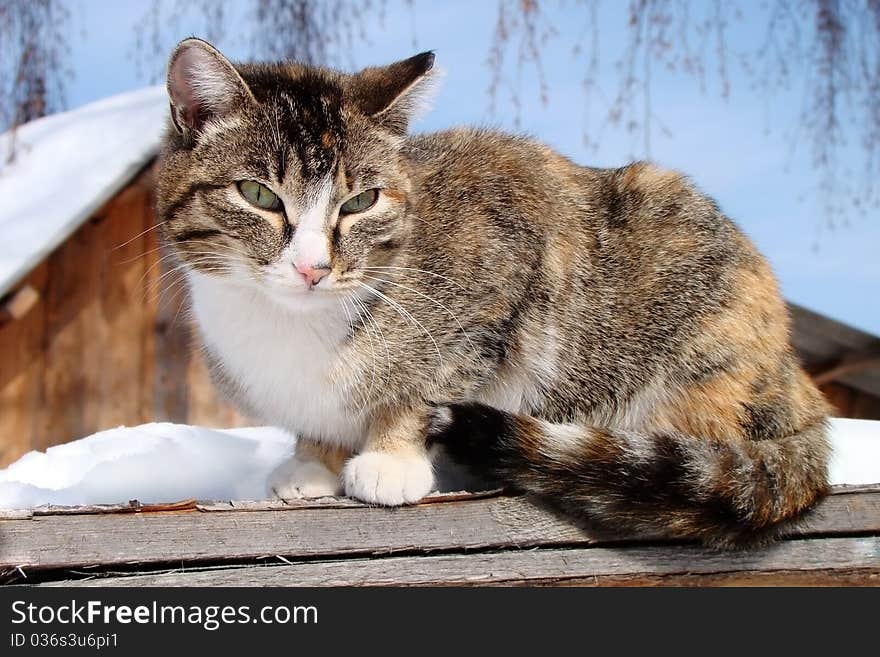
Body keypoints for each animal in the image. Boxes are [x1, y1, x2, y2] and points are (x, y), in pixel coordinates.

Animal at [156, 38, 832, 544]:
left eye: (361, 201)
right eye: (259, 194)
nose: (313, 268)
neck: (287, 323)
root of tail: (792, 377)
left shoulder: (507, 254)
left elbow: (431, 380)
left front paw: (391, 458)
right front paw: (313, 462)